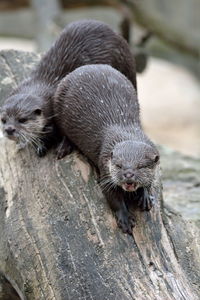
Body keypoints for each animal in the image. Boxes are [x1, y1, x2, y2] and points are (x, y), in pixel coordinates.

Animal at [54, 65, 160, 234]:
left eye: (140, 166)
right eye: (119, 165)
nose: (128, 174)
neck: (126, 131)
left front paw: (145, 196)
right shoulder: (105, 168)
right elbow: (113, 198)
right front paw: (125, 219)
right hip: (58, 103)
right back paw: (64, 148)